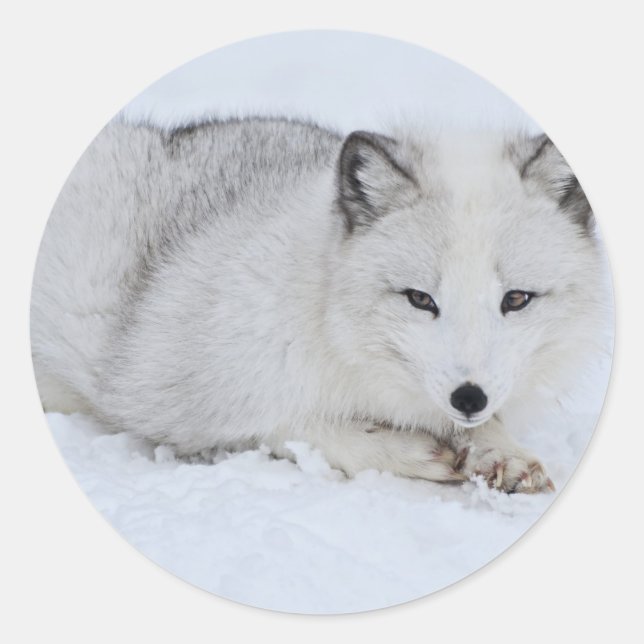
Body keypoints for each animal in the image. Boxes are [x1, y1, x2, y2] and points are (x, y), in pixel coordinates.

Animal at [31, 116, 609, 493]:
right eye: (420, 299)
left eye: (517, 298)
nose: (469, 396)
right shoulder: (174, 402)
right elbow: (291, 426)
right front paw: (404, 450)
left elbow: (486, 427)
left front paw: (501, 451)